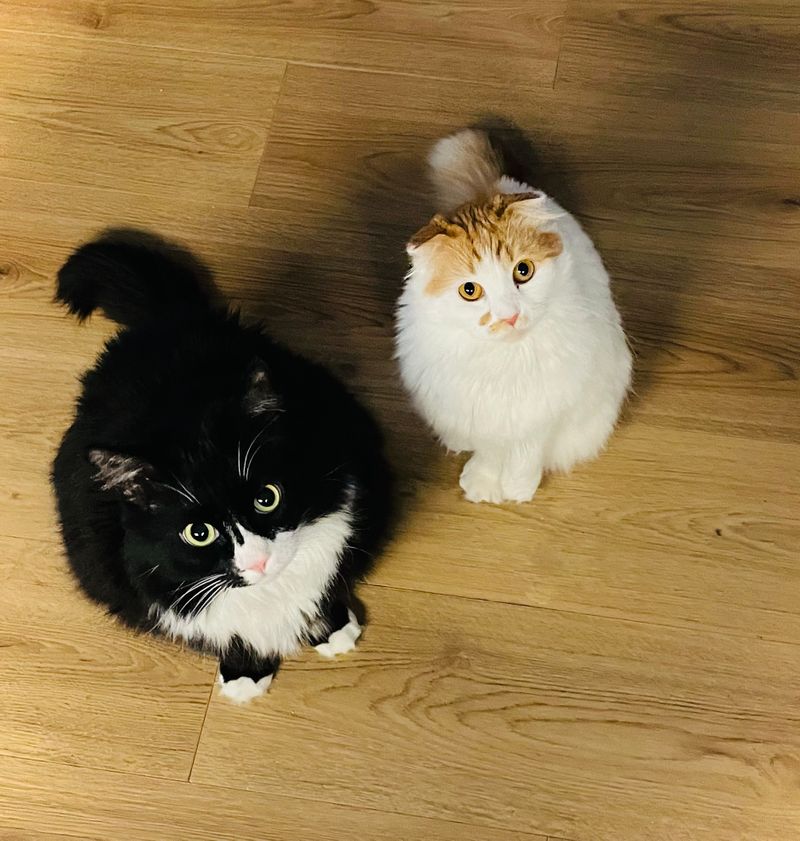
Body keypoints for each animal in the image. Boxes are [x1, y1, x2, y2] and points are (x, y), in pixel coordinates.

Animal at [51, 231, 392, 704]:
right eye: (199, 533)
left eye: (267, 498)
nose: (259, 562)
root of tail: (168, 321)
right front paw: (245, 672)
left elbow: (321, 588)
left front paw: (331, 628)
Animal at [394, 128, 632, 502]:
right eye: (470, 290)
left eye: (523, 271)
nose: (509, 316)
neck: (506, 362)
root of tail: (493, 185)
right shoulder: (483, 416)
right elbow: (491, 452)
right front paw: (485, 483)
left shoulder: (543, 414)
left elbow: (526, 454)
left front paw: (518, 487)